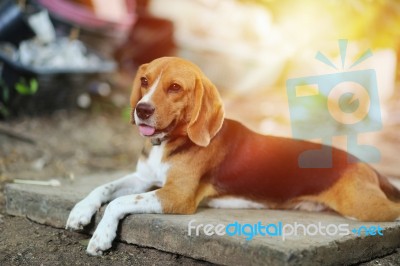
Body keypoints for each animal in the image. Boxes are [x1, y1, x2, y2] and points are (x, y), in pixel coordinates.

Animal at [65, 56, 400, 256]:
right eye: (145, 81)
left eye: (175, 87)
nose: (142, 109)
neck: (170, 142)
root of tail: (365, 165)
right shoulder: (142, 178)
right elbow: (104, 188)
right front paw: (80, 211)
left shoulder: (176, 196)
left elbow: (119, 202)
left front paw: (102, 237)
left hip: (364, 207)